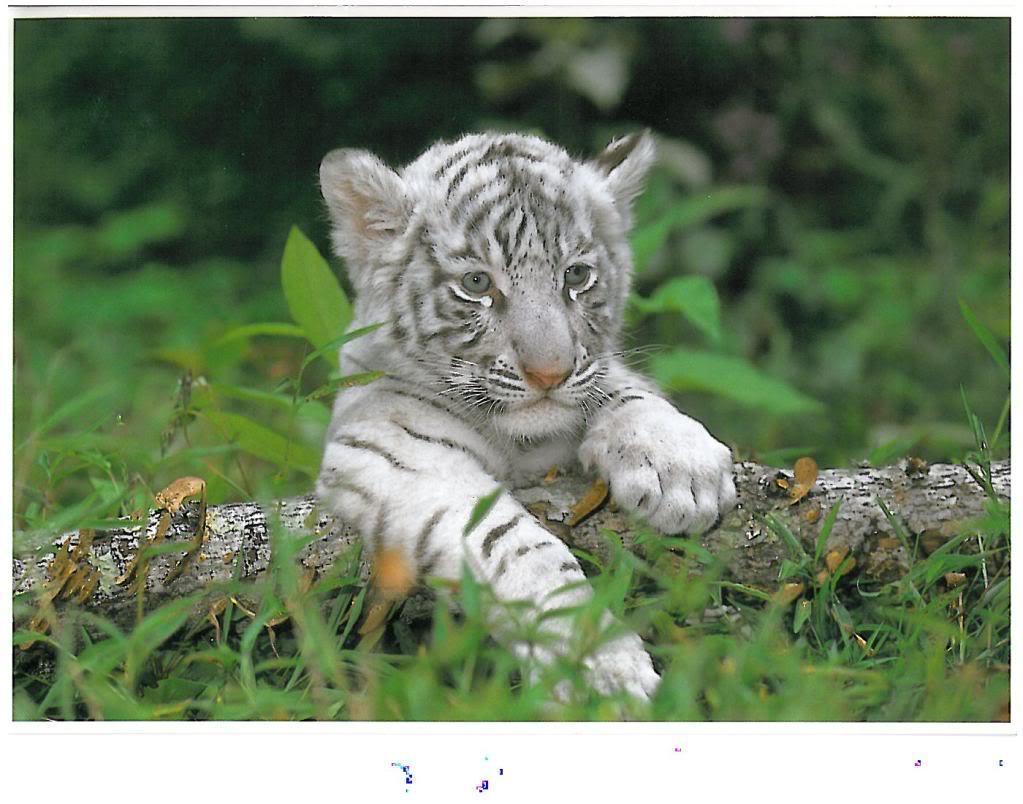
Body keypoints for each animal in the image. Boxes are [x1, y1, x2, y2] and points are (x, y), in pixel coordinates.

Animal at [316, 131, 737, 701]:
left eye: (576, 276)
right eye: (477, 283)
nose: (549, 374)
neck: (524, 444)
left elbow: (623, 387)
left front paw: (681, 470)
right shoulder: (396, 447)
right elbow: (514, 545)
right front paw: (596, 665)